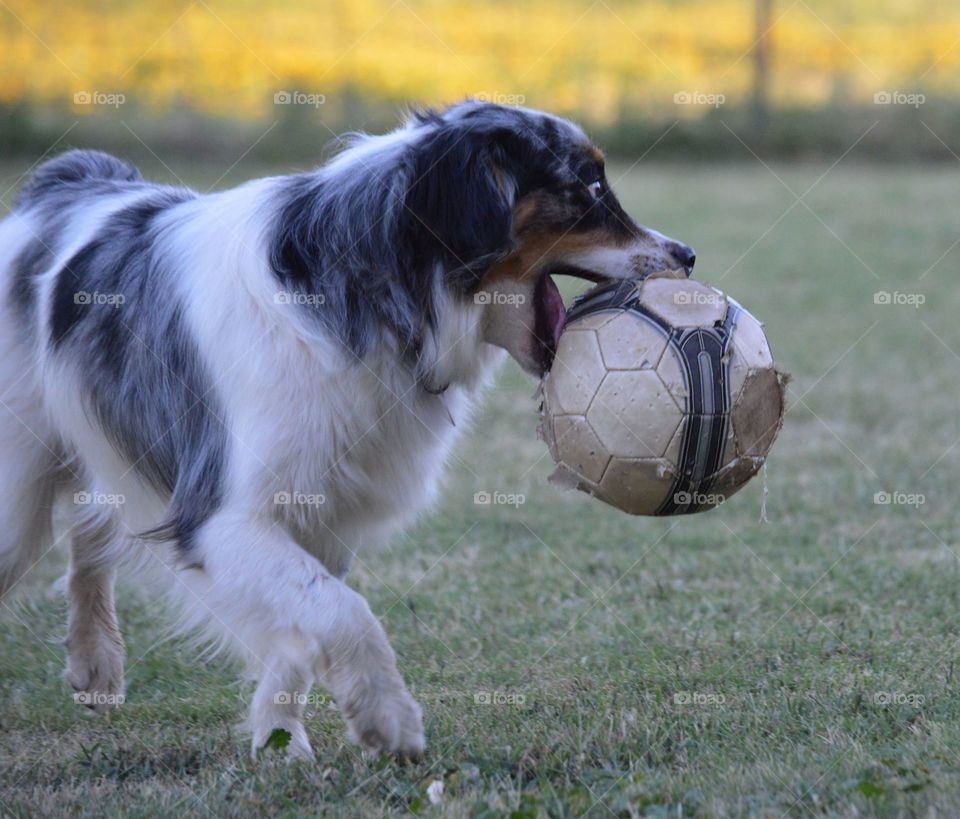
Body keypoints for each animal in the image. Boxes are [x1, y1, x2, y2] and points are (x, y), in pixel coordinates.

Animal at [0, 99, 692, 760]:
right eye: (589, 185)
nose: (686, 255)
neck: (379, 290)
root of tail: (68, 183)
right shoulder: (222, 515)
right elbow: (342, 612)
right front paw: (388, 719)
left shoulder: (322, 511)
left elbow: (304, 629)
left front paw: (280, 740)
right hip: (18, 499)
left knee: (90, 529)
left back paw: (95, 660)